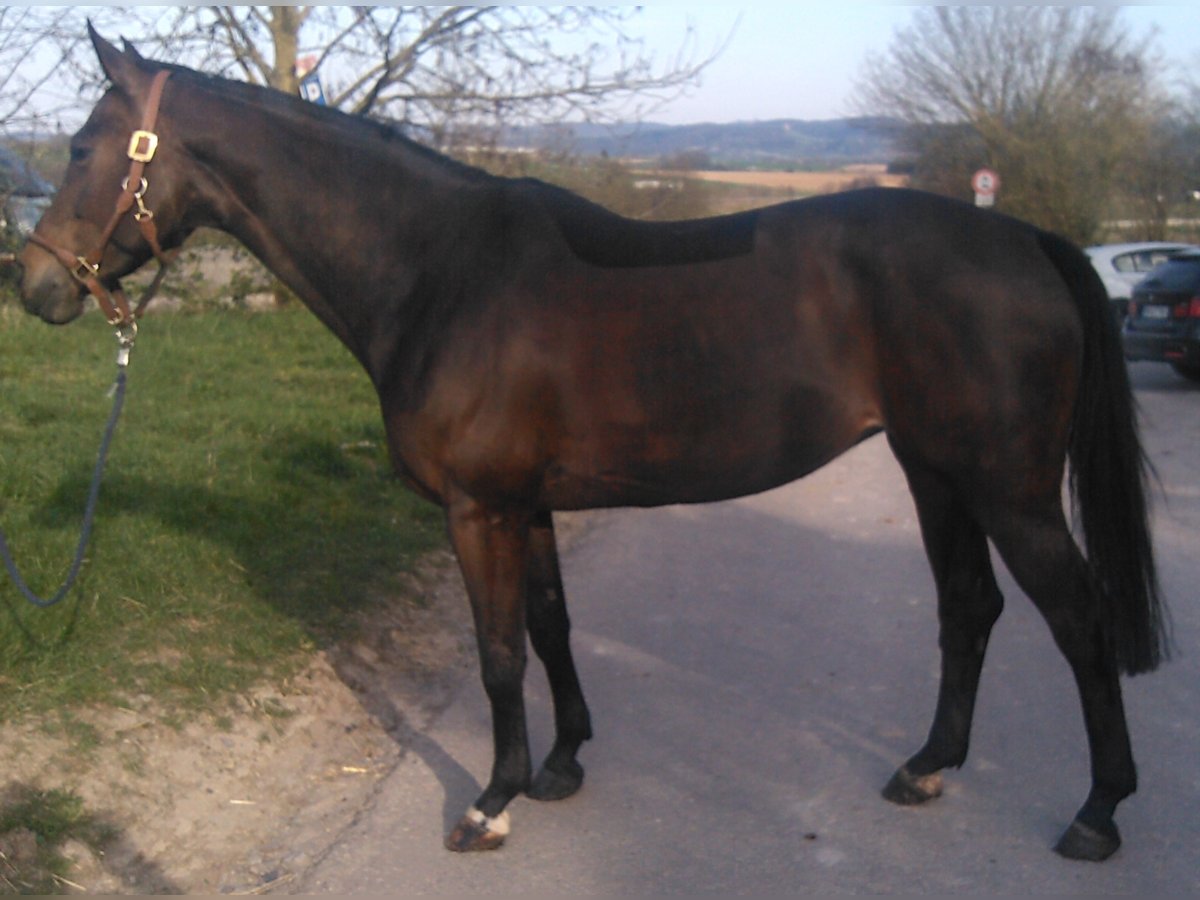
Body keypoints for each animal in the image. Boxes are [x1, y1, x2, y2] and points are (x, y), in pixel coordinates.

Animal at [19, 27, 1168, 861]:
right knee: (968, 609)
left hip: (1009, 489)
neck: (437, 270)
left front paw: (490, 803)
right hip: (936, 472)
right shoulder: (526, 502)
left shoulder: (477, 506)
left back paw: (1098, 814)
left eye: (80, 148)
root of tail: (1026, 240)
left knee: (1080, 623)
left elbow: (495, 653)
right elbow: (551, 627)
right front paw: (563, 766)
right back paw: (926, 767)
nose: (31, 286)